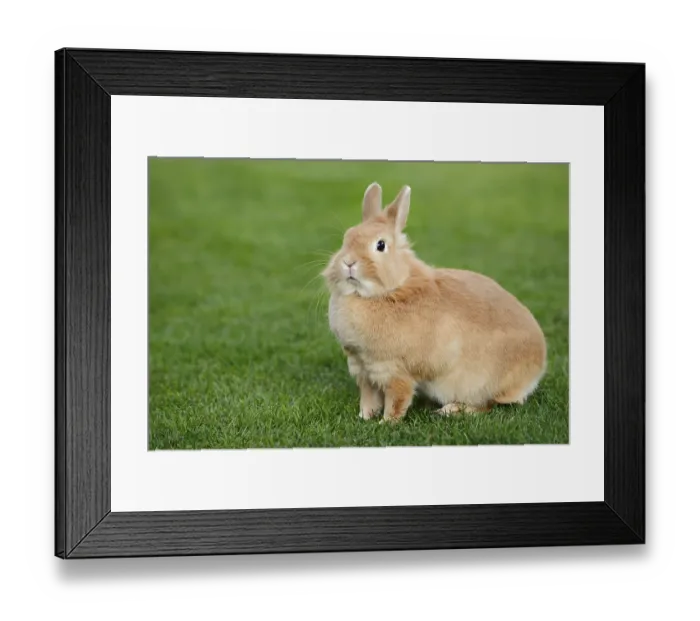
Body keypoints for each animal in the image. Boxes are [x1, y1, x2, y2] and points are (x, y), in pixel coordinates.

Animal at [321, 182, 547, 424]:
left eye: (380, 245)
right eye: (346, 238)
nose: (348, 262)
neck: (389, 291)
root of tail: (537, 367)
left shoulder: (394, 371)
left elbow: (397, 399)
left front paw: (386, 422)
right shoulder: (363, 368)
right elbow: (368, 397)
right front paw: (364, 417)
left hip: (477, 384)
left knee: (487, 405)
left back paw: (449, 410)